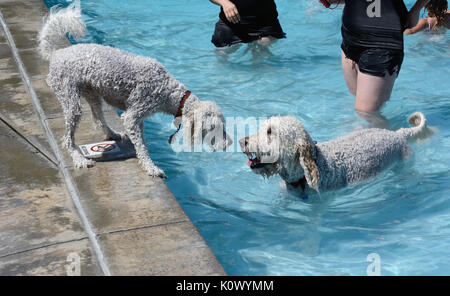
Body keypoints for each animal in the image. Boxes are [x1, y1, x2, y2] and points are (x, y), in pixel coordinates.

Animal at [37, 1, 232, 177]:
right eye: (215, 127)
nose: (229, 143)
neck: (170, 92)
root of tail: (56, 53)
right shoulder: (132, 116)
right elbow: (142, 147)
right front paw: (151, 167)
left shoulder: (140, 118)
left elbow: (141, 141)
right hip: (70, 99)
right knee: (67, 139)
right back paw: (80, 159)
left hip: (92, 93)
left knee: (98, 118)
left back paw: (113, 134)